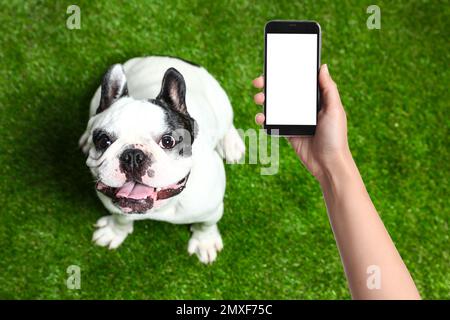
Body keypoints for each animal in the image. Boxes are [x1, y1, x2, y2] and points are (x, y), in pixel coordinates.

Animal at [79, 56, 244, 264]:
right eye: (103, 140)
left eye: (168, 141)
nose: (133, 155)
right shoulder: (116, 206)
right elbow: (121, 218)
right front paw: (115, 231)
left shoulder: (211, 209)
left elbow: (205, 225)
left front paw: (204, 242)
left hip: (222, 105)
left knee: (227, 124)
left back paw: (231, 144)